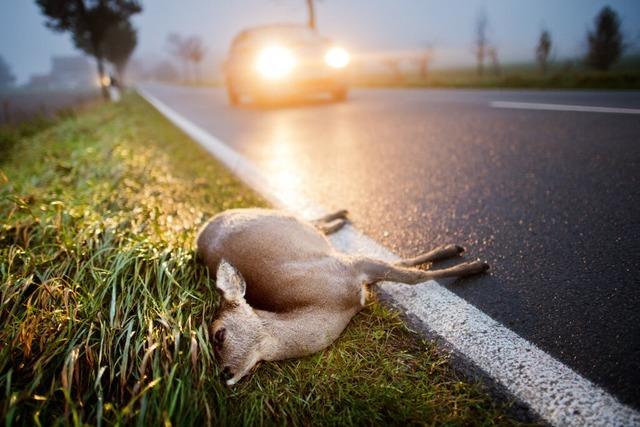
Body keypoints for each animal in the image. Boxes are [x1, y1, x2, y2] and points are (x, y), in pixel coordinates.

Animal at [198, 209, 488, 386]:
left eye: (218, 334)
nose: (223, 374)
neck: (332, 305)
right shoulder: (353, 269)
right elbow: (405, 268)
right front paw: (461, 257)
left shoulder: (349, 265)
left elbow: (412, 275)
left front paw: (471, 264)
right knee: (313, 223)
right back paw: (340, 218)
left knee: (308, 219)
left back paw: (341, 216)